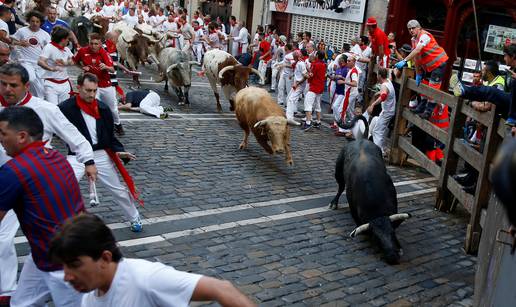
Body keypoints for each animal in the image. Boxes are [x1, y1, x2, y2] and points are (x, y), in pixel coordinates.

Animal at [330, 116, 412, 266]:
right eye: (376, 237)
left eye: (392, 232)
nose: (392, 257)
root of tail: (361, 139)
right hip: (338, 171)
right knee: (340, 187)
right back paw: (333, 203)